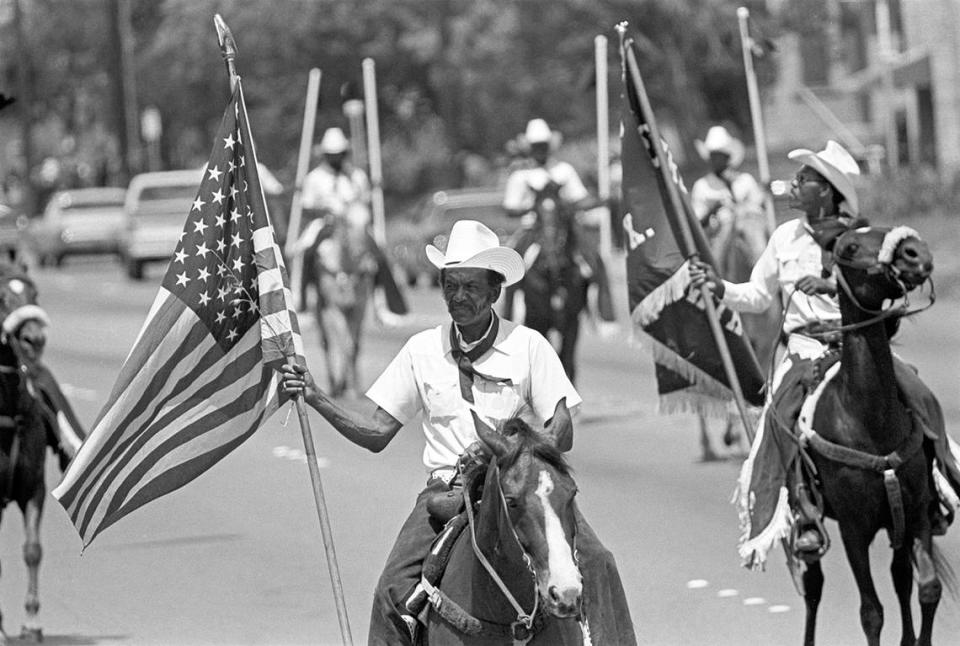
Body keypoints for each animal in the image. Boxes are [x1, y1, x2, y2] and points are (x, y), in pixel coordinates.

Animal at [796, 227, 952, 646]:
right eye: (850, 246)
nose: (915, 253)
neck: (869, 421)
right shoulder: (853, 529)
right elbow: (871, 612)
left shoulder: (915, 514)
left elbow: (927, 588)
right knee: (813, 585)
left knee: (901, 577)